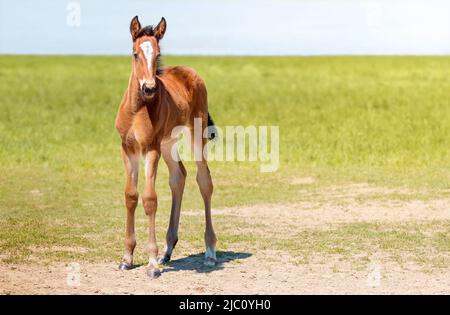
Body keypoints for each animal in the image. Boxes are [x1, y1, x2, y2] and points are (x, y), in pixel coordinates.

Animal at [113, 17, 217, 278]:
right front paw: (127, 258)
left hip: (195, 134)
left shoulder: (150, 148)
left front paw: (151, 264)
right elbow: (131, 196)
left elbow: (150, 199)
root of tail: (190, 72)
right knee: (179, 177)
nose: (149, 88)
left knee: (204, 181)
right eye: (135, 54)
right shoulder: (128, 149)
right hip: (168, 143)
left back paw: (210, 252)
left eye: (158, 53)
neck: (137, 109)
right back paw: (168, 250)